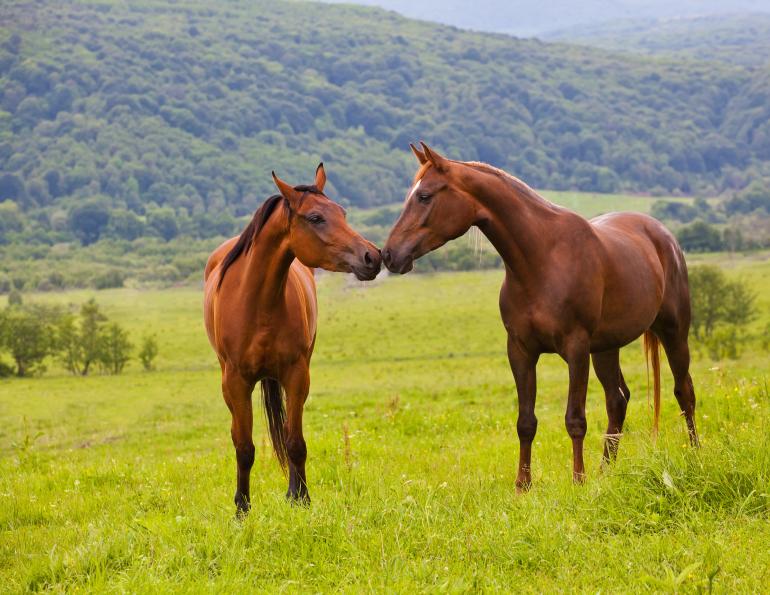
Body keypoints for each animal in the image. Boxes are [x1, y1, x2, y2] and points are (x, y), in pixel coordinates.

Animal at [204, 164, 381, 512]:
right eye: (315, 217)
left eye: (342, 212)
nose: (373, 256)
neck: (258, 303)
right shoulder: (236, 382)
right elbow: (244, 447)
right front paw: (242, 508)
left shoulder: (297, 375)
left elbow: (294, 442)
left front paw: (300, 499)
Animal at [382, 143, 699, 490]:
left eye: (424, 196)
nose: (389, 255)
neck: (540, 260)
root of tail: (663, 235)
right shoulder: (520, 351)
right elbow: (526, 422)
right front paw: (523, 486)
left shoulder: (576, 349)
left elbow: (575, 419)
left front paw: (578, 481)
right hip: (606, 348)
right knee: (617, 400)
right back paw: (606, 473)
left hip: (673, 332)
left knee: (684, 391)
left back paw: (696, 454)